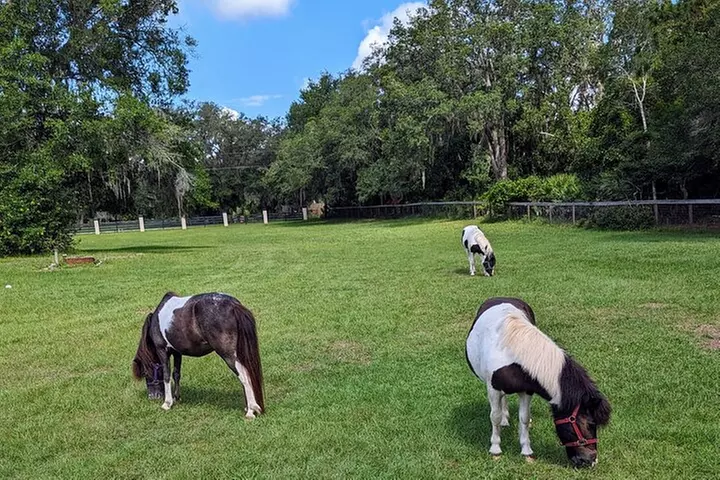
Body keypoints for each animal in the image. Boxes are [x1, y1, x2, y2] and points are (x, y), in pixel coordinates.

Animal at [132, 292, 264, 418]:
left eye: (145, 373)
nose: (152, 396)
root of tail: (233, 305)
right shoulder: (177, 352)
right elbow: (176, 374)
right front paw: (176, 398)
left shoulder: (162, 350)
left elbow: (166, 375)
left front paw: (167, 403)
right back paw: (248, 407)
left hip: (229, 355)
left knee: (245, 377)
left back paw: (251, 411)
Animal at [465, 297, 611, 468]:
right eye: (590, 424)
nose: (591, 461)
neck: (512, 356)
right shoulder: (493, 389)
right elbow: (494, 416)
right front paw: (495, 449)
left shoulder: (527, 391)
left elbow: (524, 418)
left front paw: (526, 451)